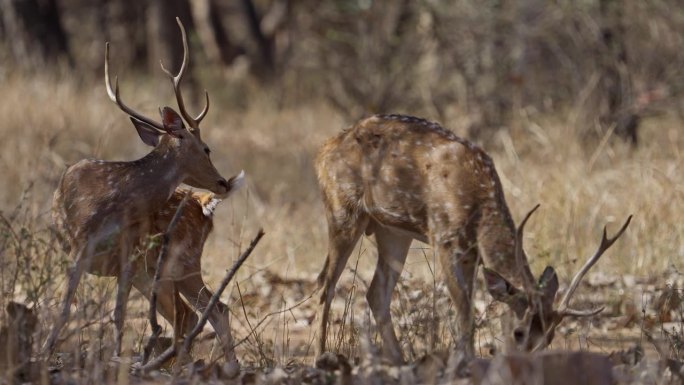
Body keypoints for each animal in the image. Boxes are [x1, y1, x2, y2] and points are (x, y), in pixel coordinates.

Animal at [46, 18, 240, 364]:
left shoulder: (127, 255)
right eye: (206, 148)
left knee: (207, 310)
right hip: (160, 270)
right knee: (196, 312)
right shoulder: (83, 248)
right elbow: (71, 309)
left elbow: (117, 315)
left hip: (180, 262)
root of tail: (205, 205)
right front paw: (46, 349)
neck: (111, 204)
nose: (223, 182)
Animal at [316, 114, 632, 364]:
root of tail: (325, 149)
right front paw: (464, 363)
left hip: (393, 232)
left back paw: (399, 360)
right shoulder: (443, 239)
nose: (527, 363)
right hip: (342, 209)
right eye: (518, 331)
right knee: (326, 285)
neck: (477, 204)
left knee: (375, 292)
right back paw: (322, 357)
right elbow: (465, 312)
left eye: (551, 336)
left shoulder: (471, 254)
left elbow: (466, 309)